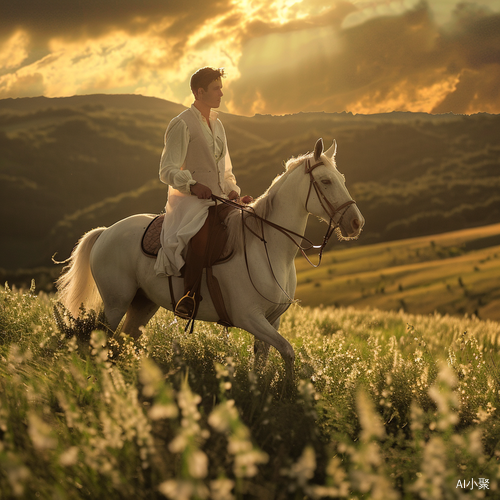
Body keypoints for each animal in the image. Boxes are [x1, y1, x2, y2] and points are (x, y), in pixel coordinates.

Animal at [57, 139, 364, 380]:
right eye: (325, 181)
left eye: (342, 179)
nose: (356, 222)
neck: (269, 248)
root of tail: (106, 231)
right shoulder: (249, 317)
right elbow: (287, 351)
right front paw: (290, 393)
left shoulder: (271, 320)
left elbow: (262, 361)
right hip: (115, 303)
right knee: (104, 340)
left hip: (142, 304)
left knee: (123, 341)